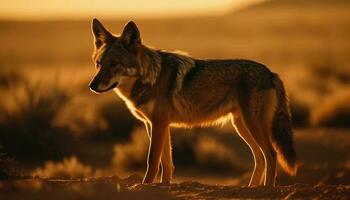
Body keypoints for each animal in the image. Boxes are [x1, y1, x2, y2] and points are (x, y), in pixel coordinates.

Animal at [89, 18, 296, 186]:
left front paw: (145, 186)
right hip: (242, 126)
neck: (150, 77)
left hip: (252, 125)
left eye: (114, 64)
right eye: (98, 64)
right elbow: (166, 163)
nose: (92, 85)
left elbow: (153, 160)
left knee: (271, 154)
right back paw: (251, 189)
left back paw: (267, 188)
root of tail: (271, 73)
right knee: (260, 158)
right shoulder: (157, 124)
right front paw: (164, 186)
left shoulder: (158, 124)